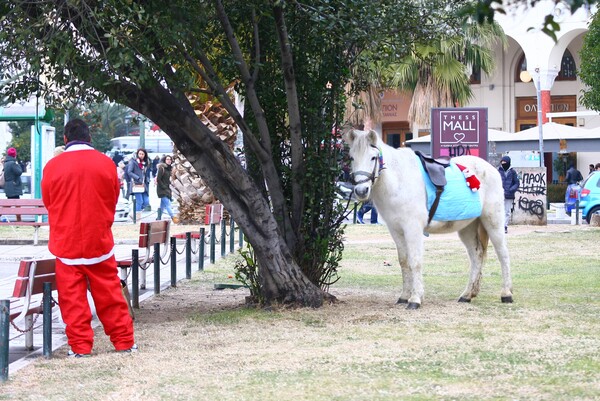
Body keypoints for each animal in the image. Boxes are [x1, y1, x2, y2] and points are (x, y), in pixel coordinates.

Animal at [344, 129, 512, 310]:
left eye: (373, 157)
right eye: (352, 157)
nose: (361, 190)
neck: (399, 180)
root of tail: (491, 169)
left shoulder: (413, 228)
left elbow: (415, 261)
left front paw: (415, 299)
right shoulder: (396, 230)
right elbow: (404, 261)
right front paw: (404, 296)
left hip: (493, 222)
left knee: (503, 254)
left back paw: (506, 294)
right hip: (468, 227)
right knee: (476, 256)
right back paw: (467, 295)